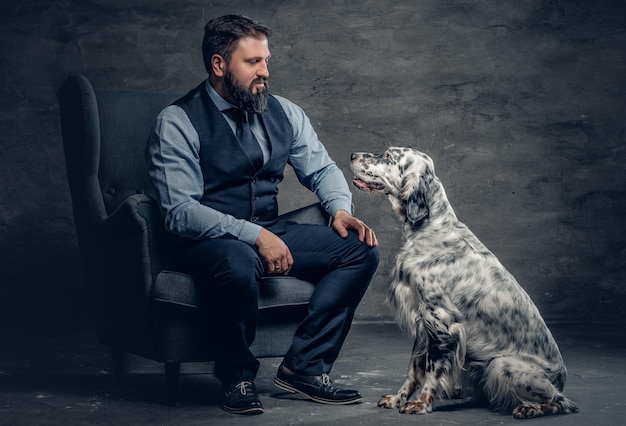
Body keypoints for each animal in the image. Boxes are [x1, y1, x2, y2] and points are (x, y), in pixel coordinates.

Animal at [348, 147, 576, 420]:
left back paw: (529, 408)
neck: (430, 228)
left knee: (562, 402)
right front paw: (397, 399)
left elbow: (432, 370)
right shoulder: (422, 322)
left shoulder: (441, 321)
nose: (352, 155)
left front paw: (421, 404)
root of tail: (561, 379)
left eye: (389, 156)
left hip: (502, 364)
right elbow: (413, 369)